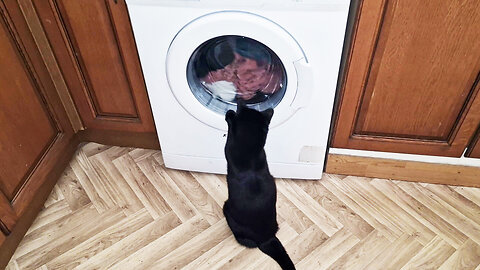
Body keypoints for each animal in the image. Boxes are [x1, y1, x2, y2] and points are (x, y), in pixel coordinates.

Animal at [222, 105, 296, 270]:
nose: (239, 104)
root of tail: (268, 238)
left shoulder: (229, 147)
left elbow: (231, 130)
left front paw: (229, 114)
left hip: (227, 208)